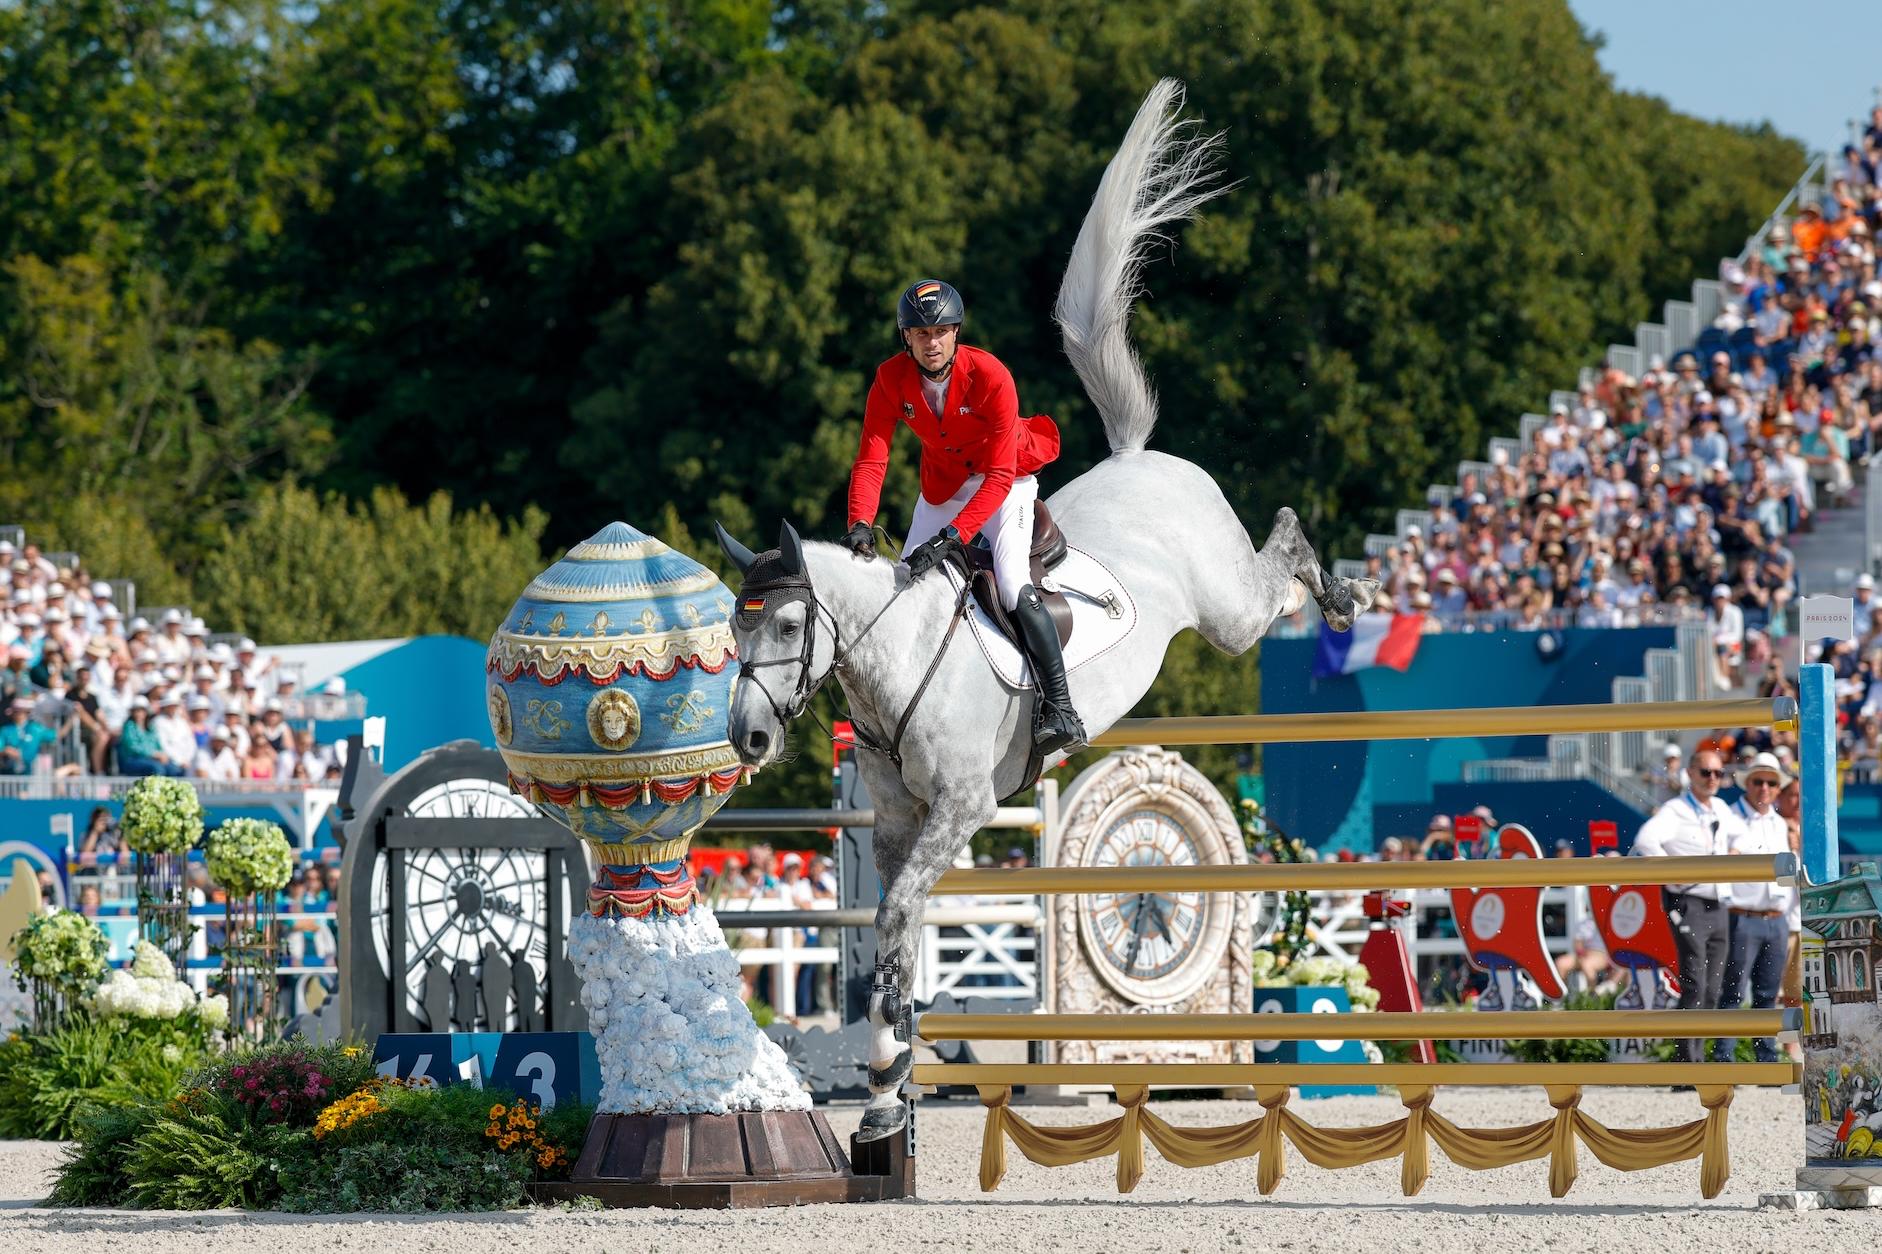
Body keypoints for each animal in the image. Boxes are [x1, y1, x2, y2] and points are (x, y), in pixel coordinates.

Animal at [711, 75, 1377, 1129]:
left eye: (784, 623)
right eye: (732, 625)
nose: (748, 739)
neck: (897, 660)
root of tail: (1140, 456)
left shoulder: (965, 806)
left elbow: (896, 916)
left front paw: (890, 1066)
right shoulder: (895, 820)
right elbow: (895, 930)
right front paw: (887, 1083)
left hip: (1227, 610)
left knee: (1277, 559)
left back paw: (1342, 590)